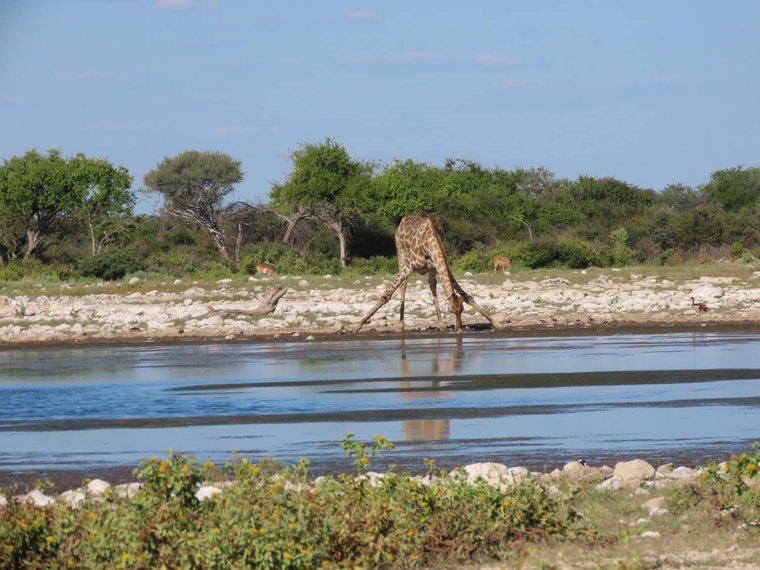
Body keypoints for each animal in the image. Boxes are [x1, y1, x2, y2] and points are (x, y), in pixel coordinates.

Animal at [353, 210, 496, 333]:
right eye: (450, 311)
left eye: (461, 310)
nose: (459, 329)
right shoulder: (409, 266)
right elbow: (386, 296)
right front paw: (356, 326)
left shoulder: (438, 266)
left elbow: (467, 296)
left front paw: (496, 323)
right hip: (400, 252)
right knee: (403, 285)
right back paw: (400, 325)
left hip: (430, 269)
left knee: (432, 285)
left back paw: (441, 324)